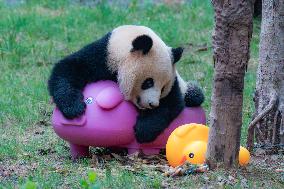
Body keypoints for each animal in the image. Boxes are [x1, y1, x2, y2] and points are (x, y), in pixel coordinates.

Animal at [48, 24, 204, 143]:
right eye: (148, 82)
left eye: (163, 88)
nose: (153, 104)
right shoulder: (102, 56)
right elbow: (68, 69)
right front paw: (74, 108)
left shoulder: (174, 82)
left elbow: (170, 103)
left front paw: (143, 130)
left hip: (186, 87)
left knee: (195, 95)